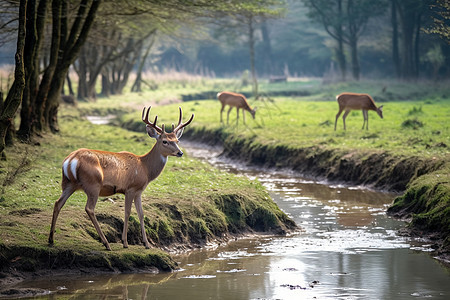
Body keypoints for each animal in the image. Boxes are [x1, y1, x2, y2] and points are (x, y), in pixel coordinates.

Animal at [48, 106, 193, 250]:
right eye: (165, 141)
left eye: (177, 140)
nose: (180, 152)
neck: (145, 168)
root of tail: (71, 160)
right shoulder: (130, 188)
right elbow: (127, 212)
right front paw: (125, 242)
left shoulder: (139, 191)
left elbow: (141, 213)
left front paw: (146, 244)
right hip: (93, 184)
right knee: (89, 208)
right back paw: (106, 243)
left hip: (68, 183)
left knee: (58, 203)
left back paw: (51, 240)